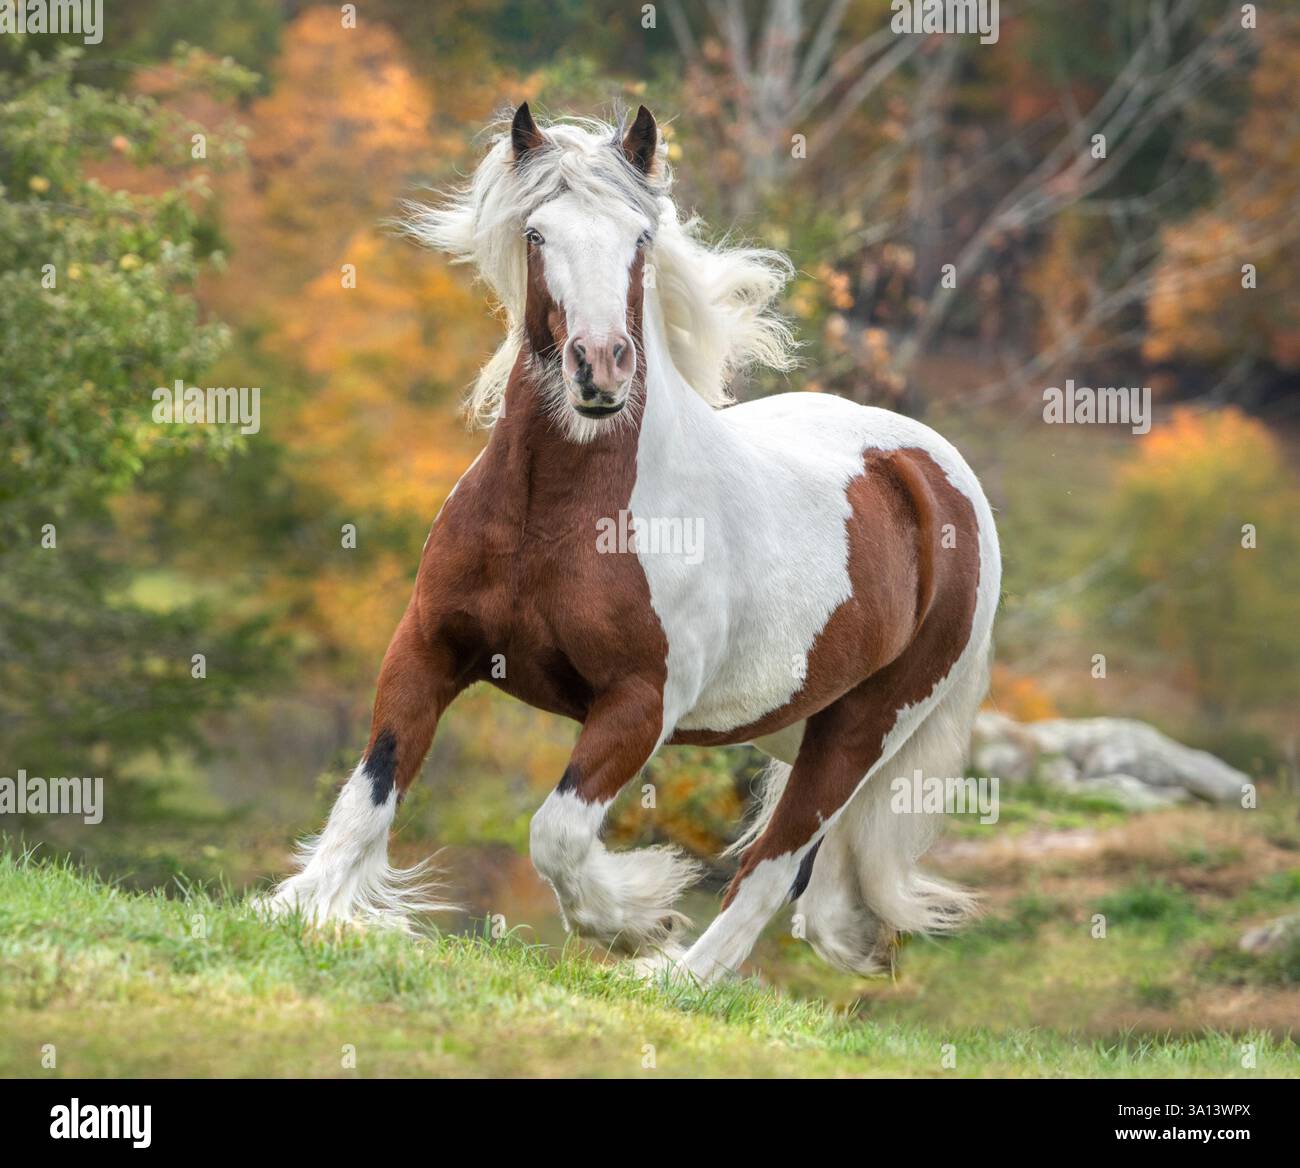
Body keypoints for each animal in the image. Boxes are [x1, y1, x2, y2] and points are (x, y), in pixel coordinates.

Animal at [261, 103, 1001, 983]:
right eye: (537, 233)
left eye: (640, 238)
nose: (602, 368)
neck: (552, 515)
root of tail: (939, 476)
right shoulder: (429, 646)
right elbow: (375, 783)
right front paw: (302, 908)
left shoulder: (640, 704)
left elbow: (556, 834)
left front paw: (639, 921)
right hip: (808, 722)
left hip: (866, 725)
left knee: (774, 864)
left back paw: (677, 975)